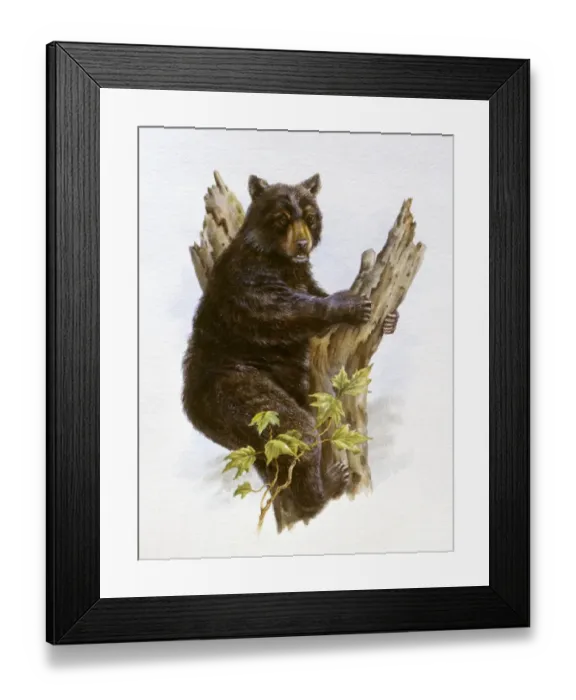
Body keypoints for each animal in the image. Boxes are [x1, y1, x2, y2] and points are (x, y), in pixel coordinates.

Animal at [182, 173, 398, 527]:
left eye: (310, 218)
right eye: (282, 219)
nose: (302, 245)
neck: (281, 260)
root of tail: (193, 406)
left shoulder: (302, 274)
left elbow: (312, 294)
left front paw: (390, 318)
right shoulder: (247, 279)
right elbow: (281, 310)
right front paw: (349, 304)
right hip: (235, 392)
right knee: (298, 433)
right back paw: (325, 489)